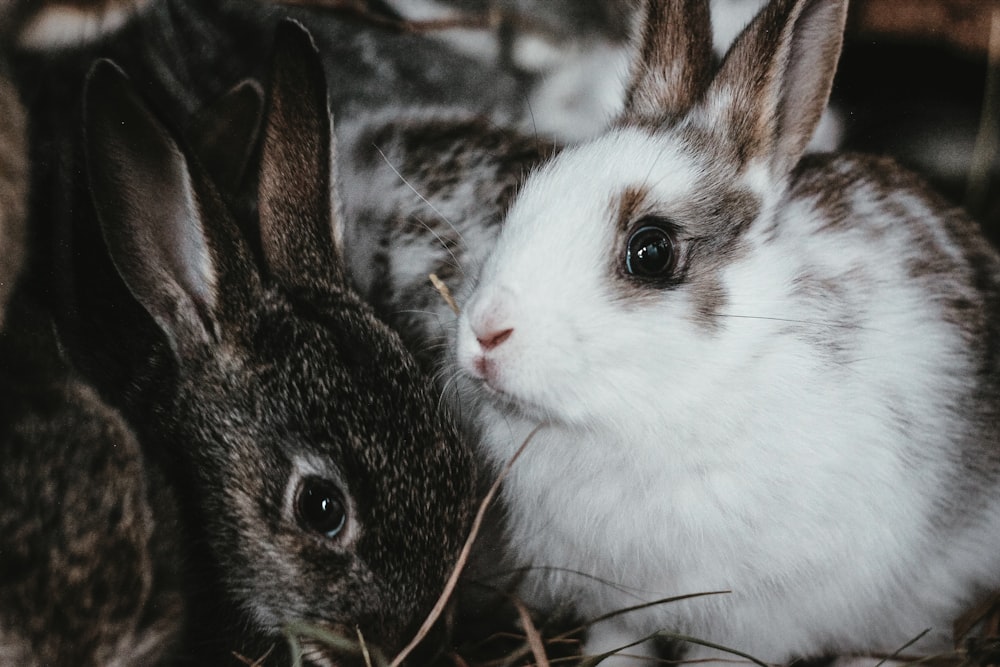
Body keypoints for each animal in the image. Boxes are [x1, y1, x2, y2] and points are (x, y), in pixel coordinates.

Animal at [450, 0, 1000, 664]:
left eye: (651, 251)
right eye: (527, 192)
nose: (486, 332)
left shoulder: (755, 618)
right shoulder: (617, 601)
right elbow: (618, 642)